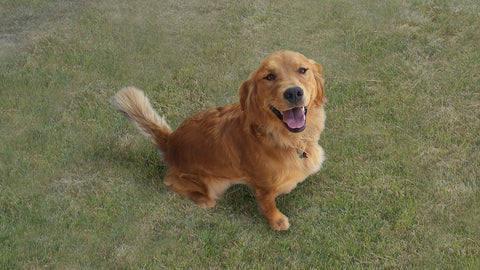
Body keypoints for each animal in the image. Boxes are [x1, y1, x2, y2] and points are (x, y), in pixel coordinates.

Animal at [113, 50, 326, 230]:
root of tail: (170, 141)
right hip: (209, 183)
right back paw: (203, 200)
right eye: (270, 76)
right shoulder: (261, 186)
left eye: (302, 70)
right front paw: (277, 222)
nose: (293, 92)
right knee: (170, 181)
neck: (284, 138)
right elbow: (268, 205)